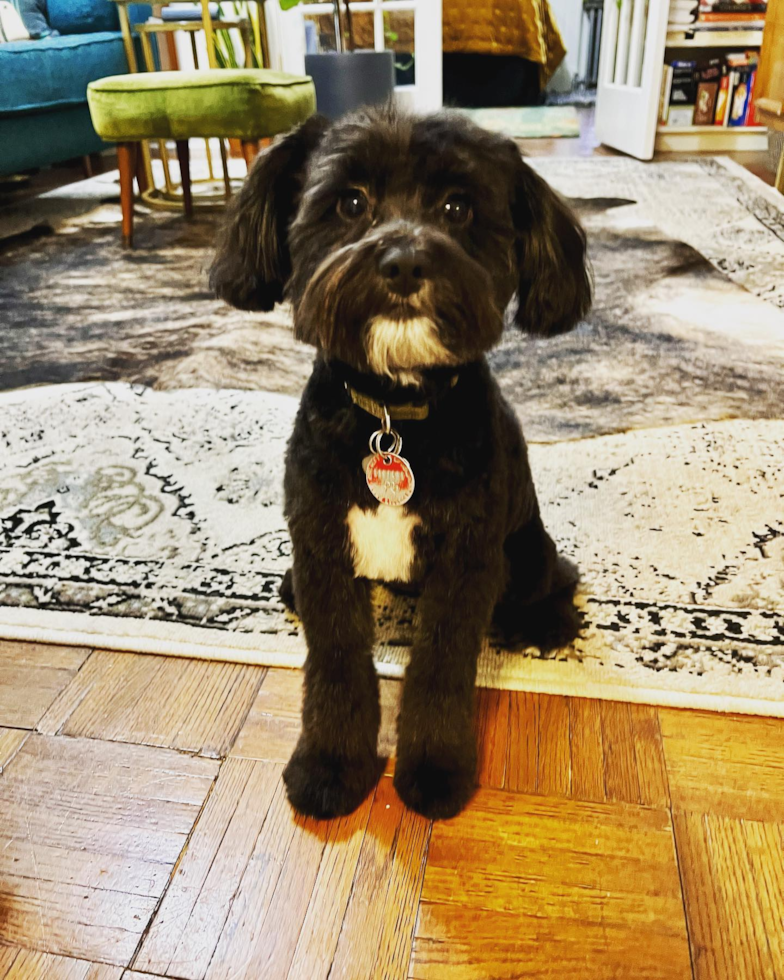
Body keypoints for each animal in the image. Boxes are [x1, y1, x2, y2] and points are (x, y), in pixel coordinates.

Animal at [211, 105, 592, 820]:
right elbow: (336, 659)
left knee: (555, 576)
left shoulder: (468, 561)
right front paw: (330, 766)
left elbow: (441, 667)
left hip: (524, 548)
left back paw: (545, 622)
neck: (393, 415)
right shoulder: (323, 549)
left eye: (458, 207)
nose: (404, 261)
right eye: (350, 202)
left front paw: (436, 768)